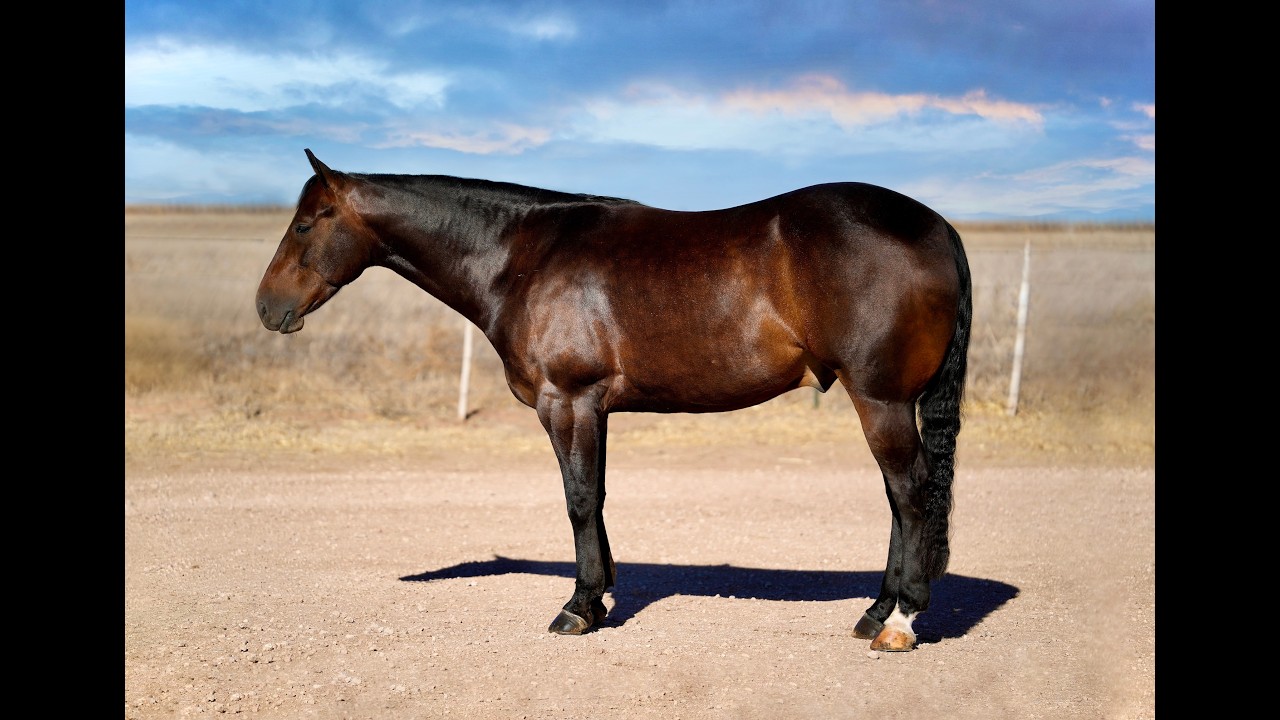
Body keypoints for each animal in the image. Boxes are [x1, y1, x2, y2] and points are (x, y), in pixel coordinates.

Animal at [256, 149, 972, 652]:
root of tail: (937, 226)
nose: (267, 307)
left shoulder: (567, 402)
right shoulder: (591, 409)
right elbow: (594, 500)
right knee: (900, 498)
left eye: (306, 223)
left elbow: (578, 499)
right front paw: (597, 601)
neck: (522, 256)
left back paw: (901, 621)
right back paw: (876, 612)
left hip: (880, 399)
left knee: (910, 493)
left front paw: (577, 608)